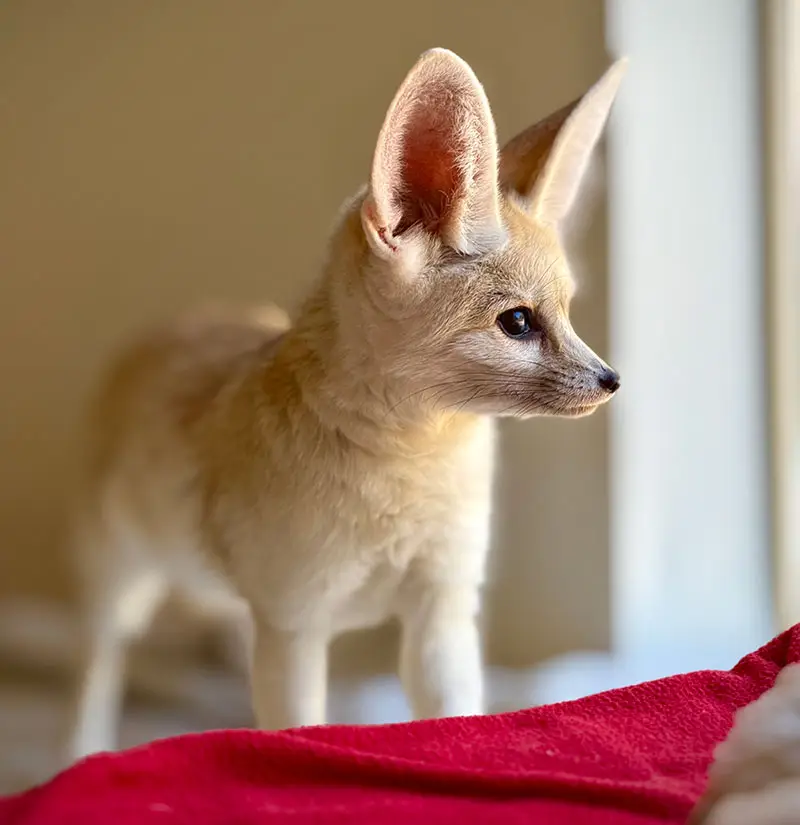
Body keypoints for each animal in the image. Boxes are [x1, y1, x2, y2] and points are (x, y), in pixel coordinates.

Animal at [67, 47, 626, 760]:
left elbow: (451, 718)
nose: (611, 380)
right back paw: (81, 752)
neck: (409, 467)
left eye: (569, 314)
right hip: (123, 581)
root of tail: (176, 322)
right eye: (519, 323)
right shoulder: (295, 623)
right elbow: (301, 732)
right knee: (98, 663)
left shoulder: (441, 611)